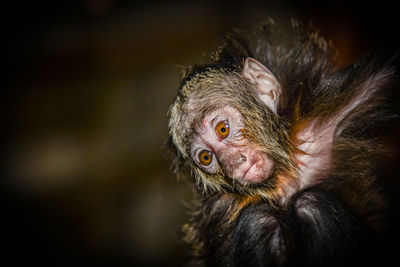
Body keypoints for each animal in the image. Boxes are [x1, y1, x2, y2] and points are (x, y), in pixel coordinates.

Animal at [168, 21, 400, 267]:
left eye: (223, 129)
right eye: (206, 157)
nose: (233, 163)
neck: (284, 178)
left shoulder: (345, 103)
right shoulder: (217, 211)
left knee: (311, 205)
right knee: (258, 219)